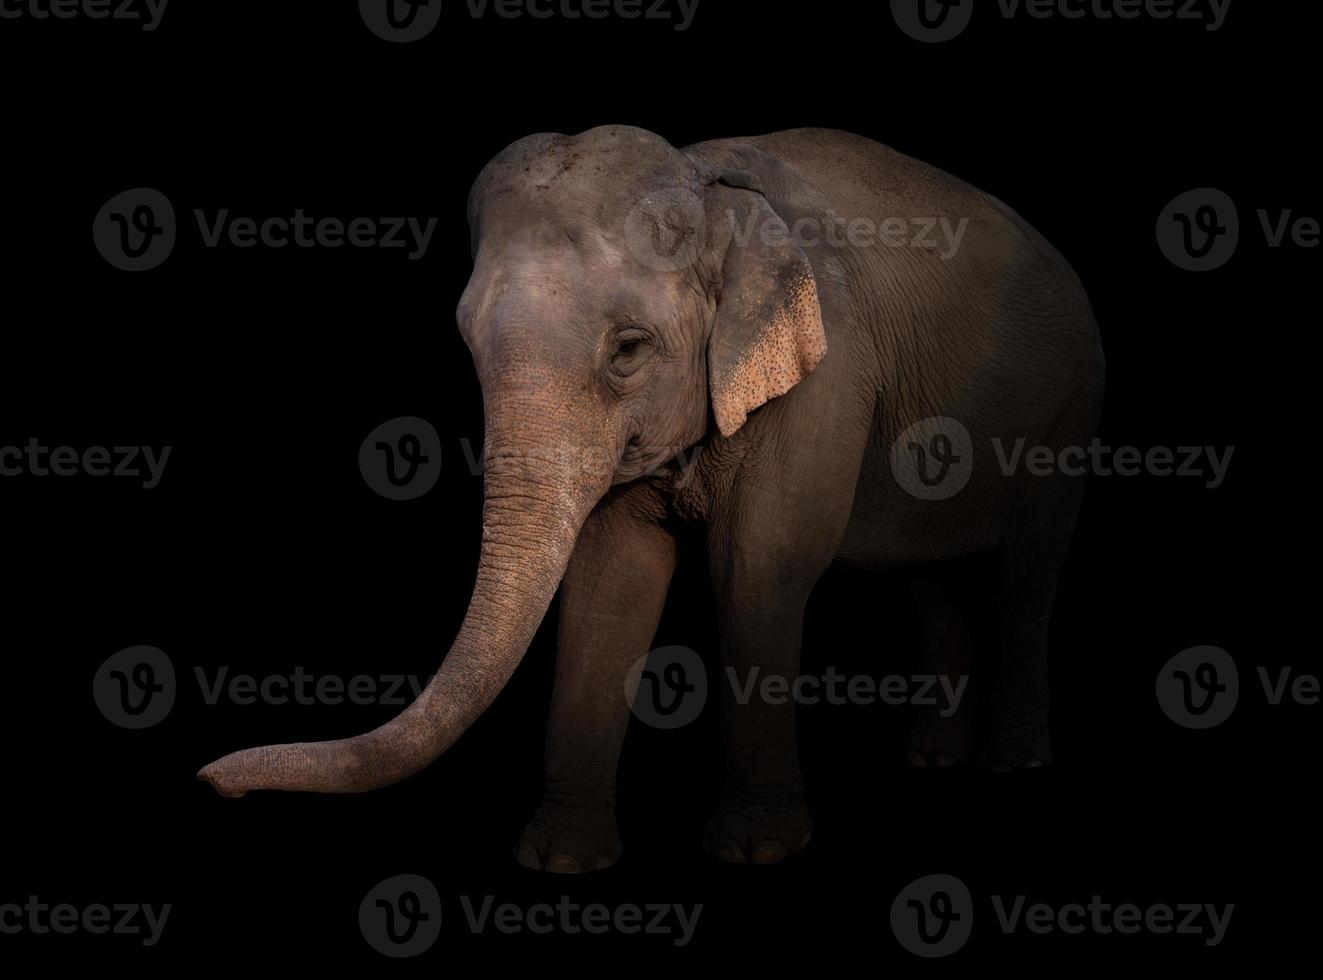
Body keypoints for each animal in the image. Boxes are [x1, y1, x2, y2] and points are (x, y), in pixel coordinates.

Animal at [195, 124, 1106, 872]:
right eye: (465, 342)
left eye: (628, 349)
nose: (213, 785)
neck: (711, 191)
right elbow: (610, 577)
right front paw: (561, 861)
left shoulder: (829, 372)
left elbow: (759, 567)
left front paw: (755, 851)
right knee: (933, 575)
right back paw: (931, 761)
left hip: (1067, 414)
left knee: (1026, 572)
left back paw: (1013, 764)